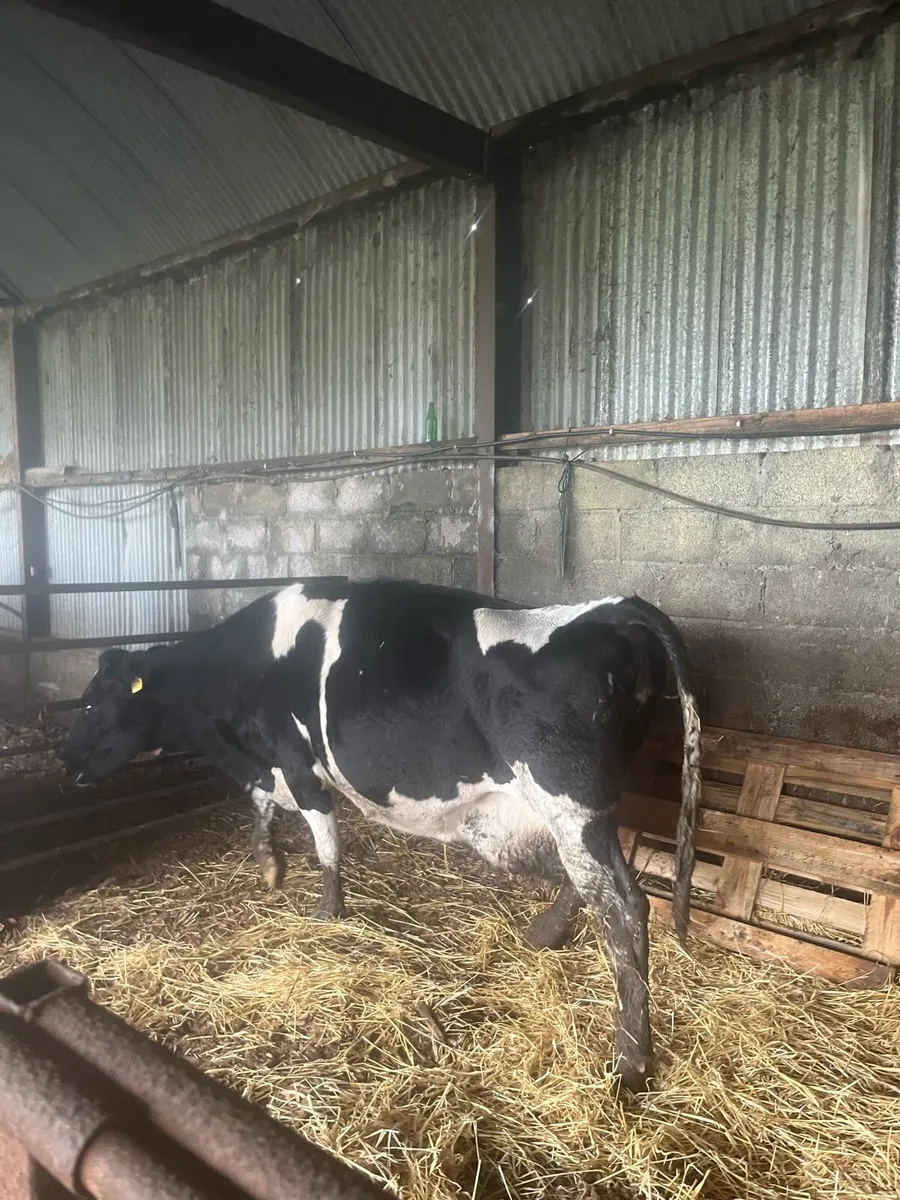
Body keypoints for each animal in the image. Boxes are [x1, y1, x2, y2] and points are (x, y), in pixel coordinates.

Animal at [62, 579, 700, 1091]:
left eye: (93, 704)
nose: (68, 765)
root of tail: (610, 608)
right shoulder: (268, 769)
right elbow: (261, 808)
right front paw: (269, 863)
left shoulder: (299, 763)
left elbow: (325, 839)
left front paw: (326, 909)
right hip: (569, 811)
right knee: (587, 884)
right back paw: (546, 935)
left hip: (571, 801)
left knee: (623, 906)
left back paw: (631, 1060)